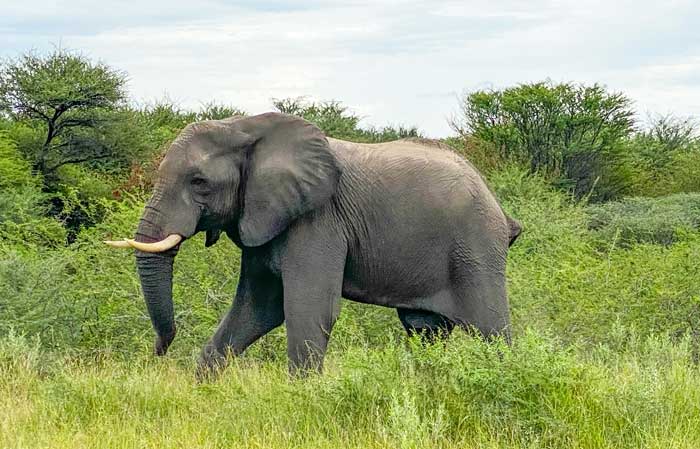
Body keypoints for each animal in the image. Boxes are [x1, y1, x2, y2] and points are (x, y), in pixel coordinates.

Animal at [106, 113, 524, 374]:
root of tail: (498, 207)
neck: (244, 127)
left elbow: (308, 308)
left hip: (475, 246)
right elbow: (256, 310)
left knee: (491, 330)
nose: (157, 352)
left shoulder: (318, 221)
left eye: (198, 183)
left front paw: (301, 397)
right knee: (425, 329)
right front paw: (203, 390)